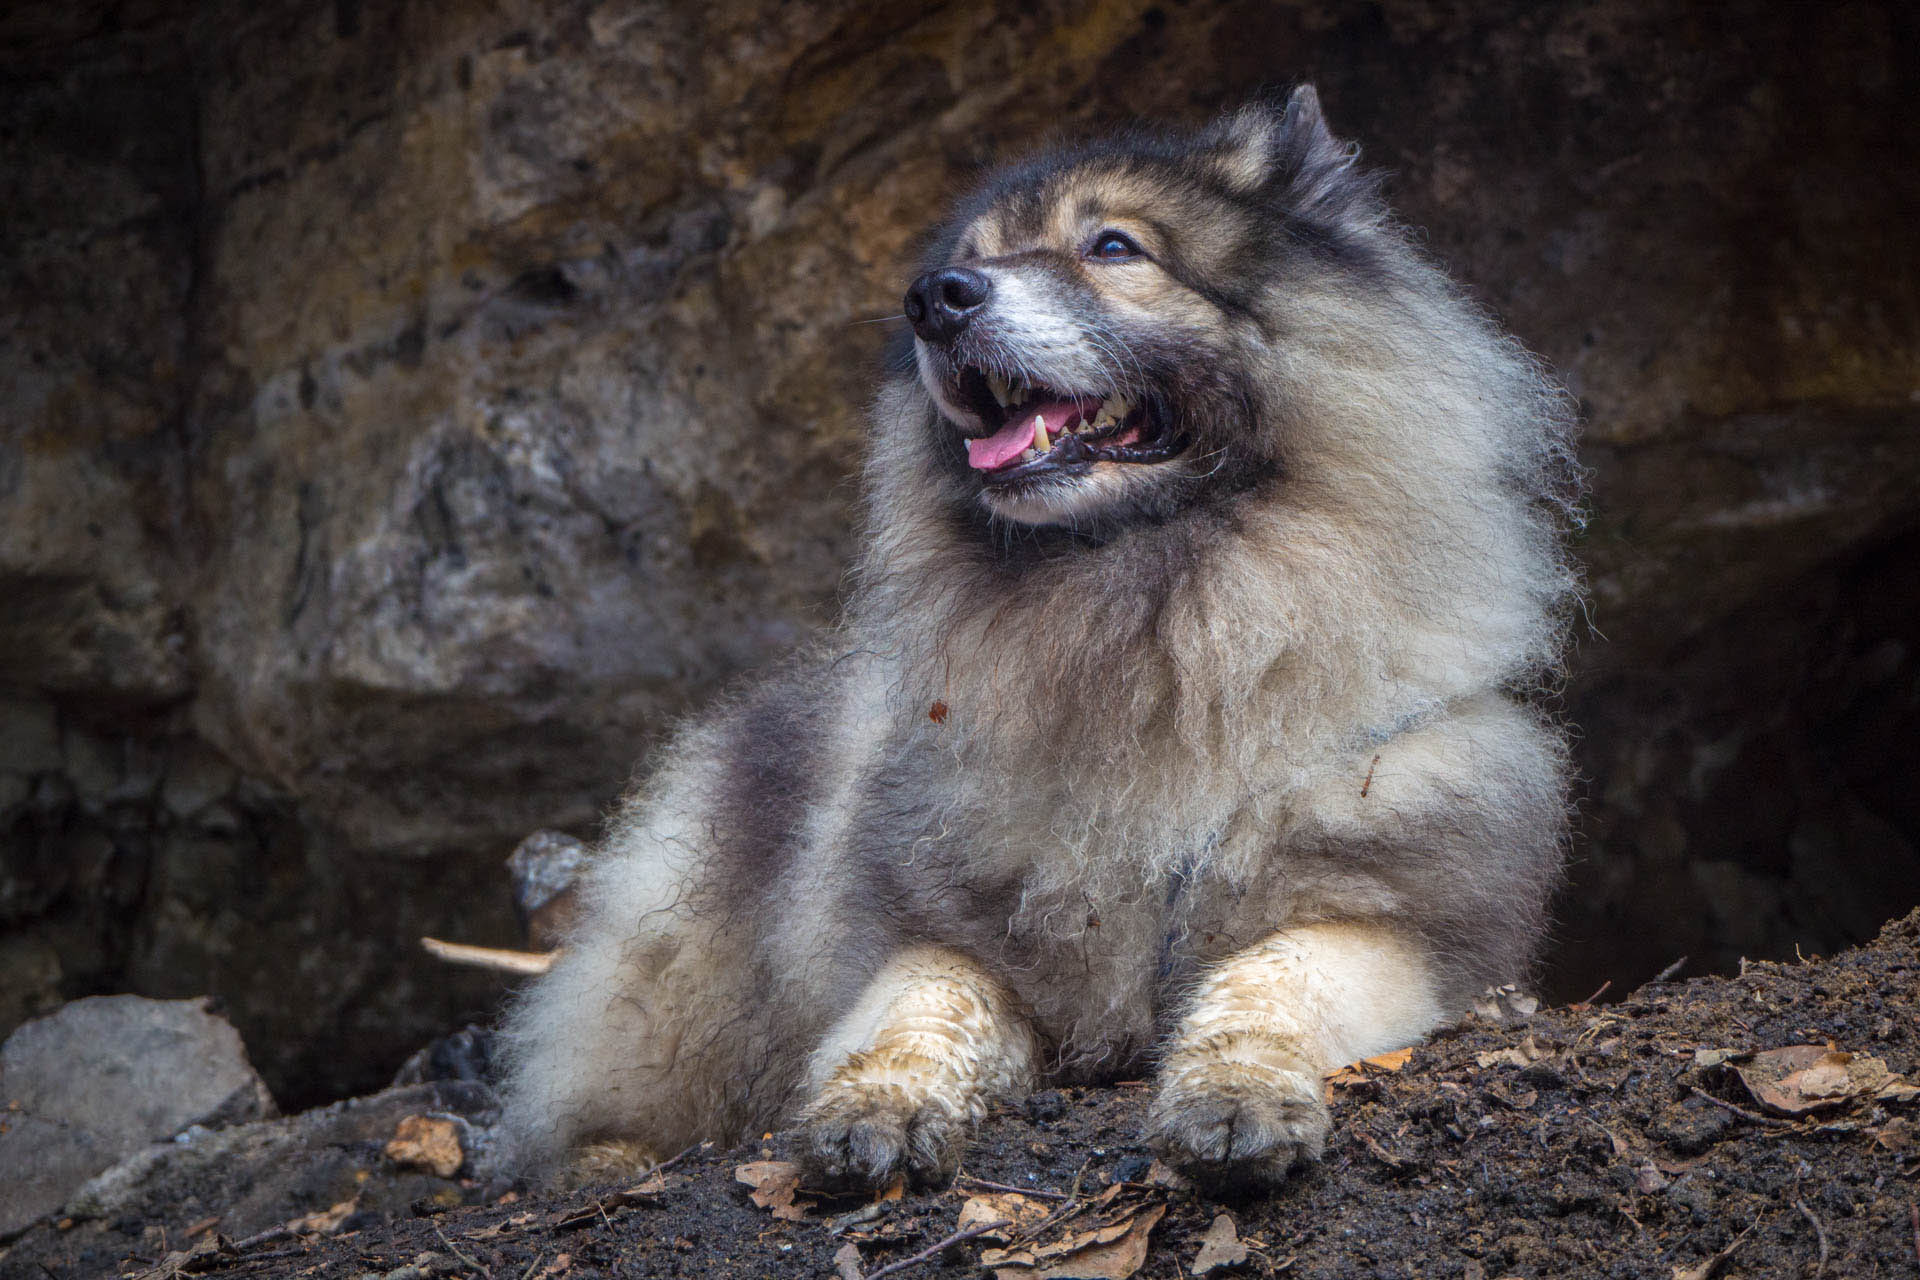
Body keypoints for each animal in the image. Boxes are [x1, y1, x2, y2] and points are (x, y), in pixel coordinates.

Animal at [503, 87, 1582, 1189]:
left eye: (1112, 246)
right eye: (964, 261)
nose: (935, 298)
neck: (1147, 616)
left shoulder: (1391, 923)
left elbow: (1269, 981)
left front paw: (1234, 1095)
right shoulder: (953, 928)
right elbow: (921, 1005)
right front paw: (875, 1106)